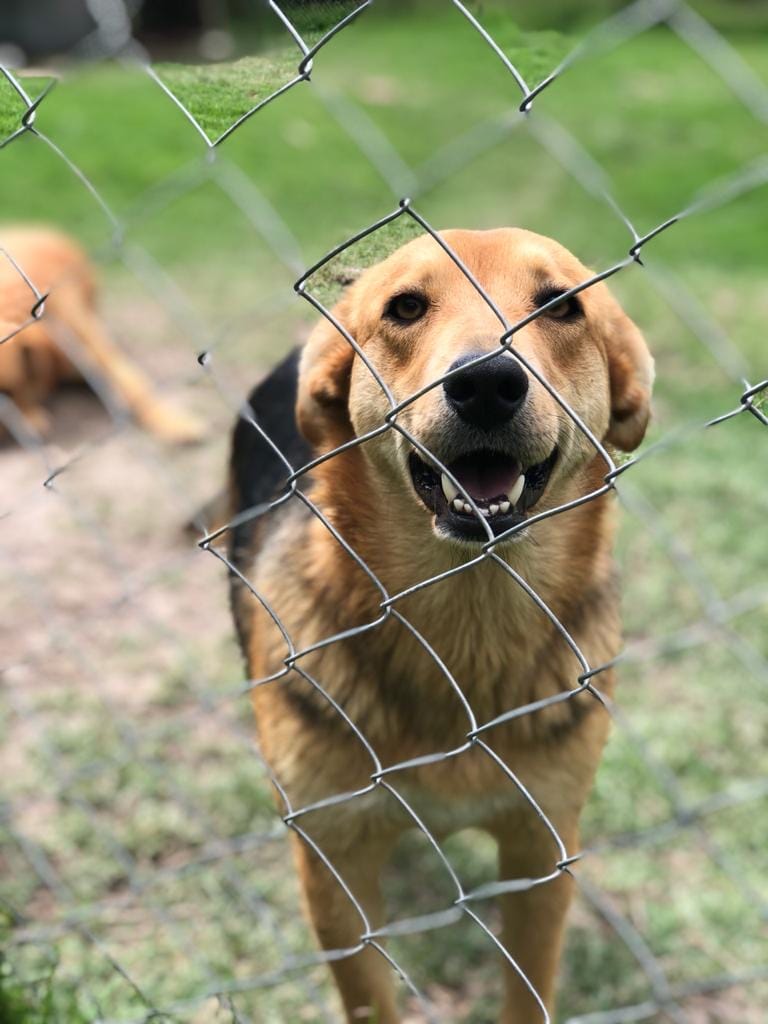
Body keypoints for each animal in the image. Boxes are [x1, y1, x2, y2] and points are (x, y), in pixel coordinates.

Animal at [228, 228, 655, 1019]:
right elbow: (369, 997)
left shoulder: (542, 852)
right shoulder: (334, 869)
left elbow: (529, 991)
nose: (487, 382)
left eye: (562, 306)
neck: (465, 622)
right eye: (404, 307)